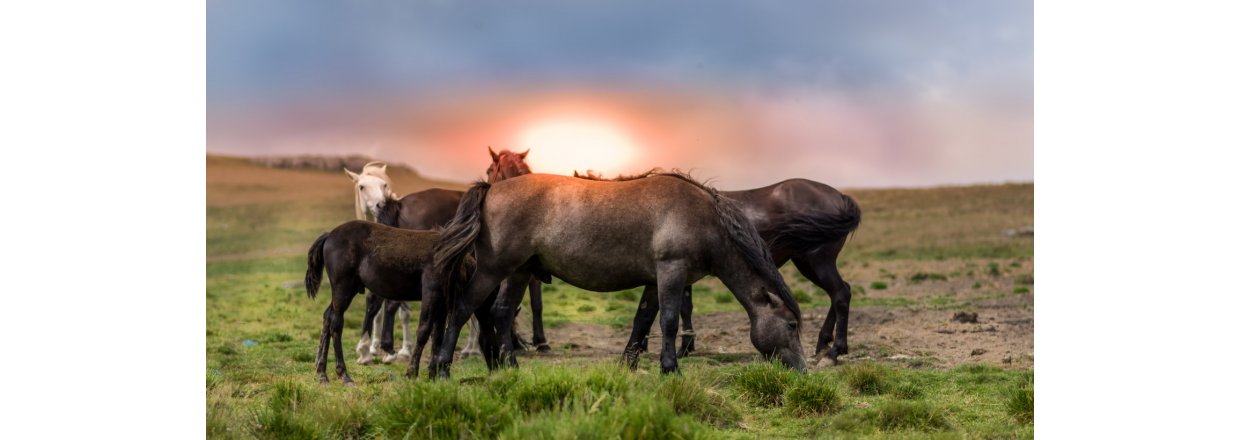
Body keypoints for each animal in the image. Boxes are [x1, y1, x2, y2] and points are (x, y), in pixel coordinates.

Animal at [302, 221, 486, 384]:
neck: (450, 259)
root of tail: (329, 235)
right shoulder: (431, 293)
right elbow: (424, 331)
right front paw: (412, 372)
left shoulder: (441, 302)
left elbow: (437, 336)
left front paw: (433, 376)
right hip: (343, 289)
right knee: (336, 323)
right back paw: (344, 375)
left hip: (349, 290)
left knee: (328, 317)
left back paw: (322, 373)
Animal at [431, 172, 808, 379]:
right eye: (791, 325)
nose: (803, 370)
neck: (703, 219)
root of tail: (491, 189)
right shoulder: (671, 272)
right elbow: (669, 321)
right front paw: (670, 368)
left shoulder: (656, 280)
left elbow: (643, 321)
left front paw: (629, 366)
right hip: (494, 269)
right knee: (462, 309)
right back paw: (442, 368)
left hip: (520, 272)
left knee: (501, 312)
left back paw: (510, 367)